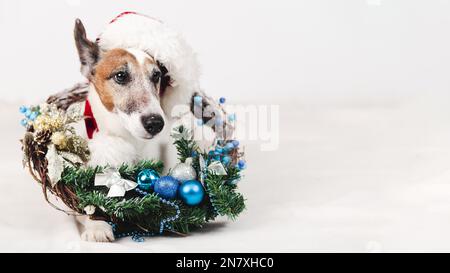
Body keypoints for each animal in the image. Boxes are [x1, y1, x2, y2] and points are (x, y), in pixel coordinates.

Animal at [48, 13, 234, 241]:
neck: (130, 139)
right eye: (121, 75)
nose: (156, 123)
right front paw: (97, 226)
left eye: (156, 76)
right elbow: (84, 202)